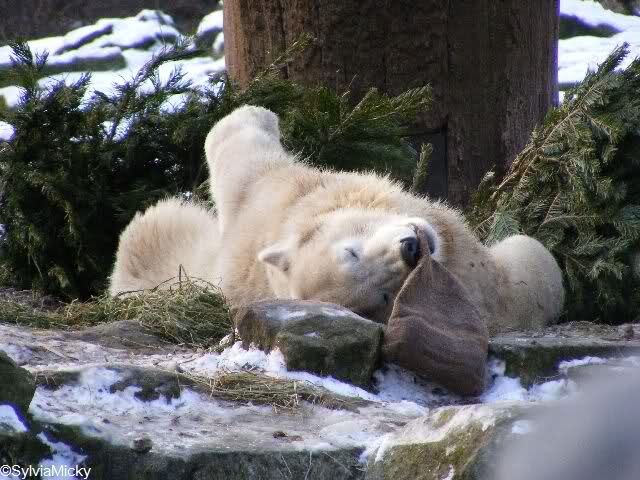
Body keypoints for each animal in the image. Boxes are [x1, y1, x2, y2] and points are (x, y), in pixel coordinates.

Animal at [109, 105, 564, 334]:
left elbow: (236, 146)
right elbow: (526, 276)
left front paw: (262, 111)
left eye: (351, 249)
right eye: (384, 298)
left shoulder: (275, 200)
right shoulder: (477, 295)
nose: (411, 248)